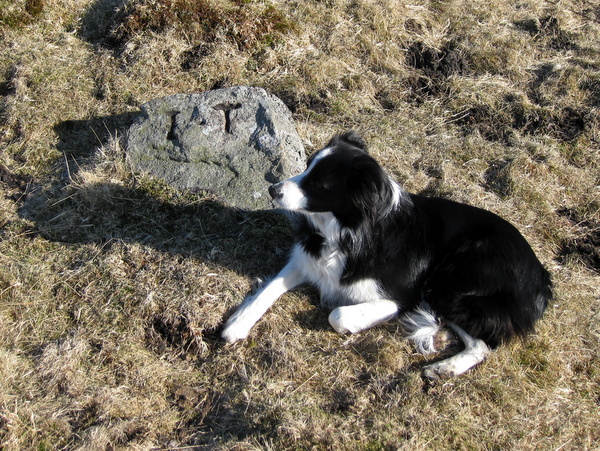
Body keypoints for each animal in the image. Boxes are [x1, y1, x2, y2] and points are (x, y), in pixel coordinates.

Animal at [221, 132, 552, 382]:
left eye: (319, 183)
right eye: (306, 166)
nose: (272, 189)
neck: (346, 232)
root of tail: (541, 276)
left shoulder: (398, 296)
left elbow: (338, 315)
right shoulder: (306, 259)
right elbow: (269, 289)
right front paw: (238, 322)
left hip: (450, 283)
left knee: (484, 344)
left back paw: (443, 366)